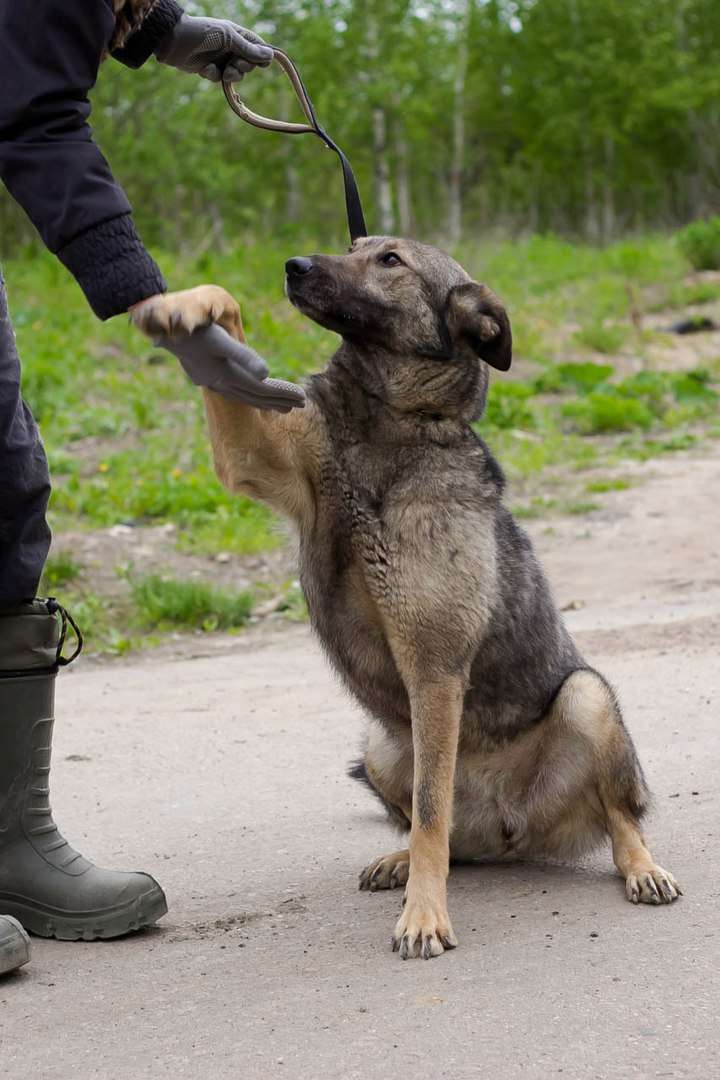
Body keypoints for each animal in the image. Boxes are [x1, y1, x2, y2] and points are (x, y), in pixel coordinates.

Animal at [131, 238, 682, 963]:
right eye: (351, 247)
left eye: (390, 259)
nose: (295, 266)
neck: (388, 421)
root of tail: (509, 832)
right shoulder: (254, 457)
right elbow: (226, 327)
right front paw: (188, 308)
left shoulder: (434, 670)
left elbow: (428, 812)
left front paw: (423, 918)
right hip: (380, 743)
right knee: (449, 842)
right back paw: (400, 862)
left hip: (585, 698)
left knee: (614, 817)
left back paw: (641, 867)